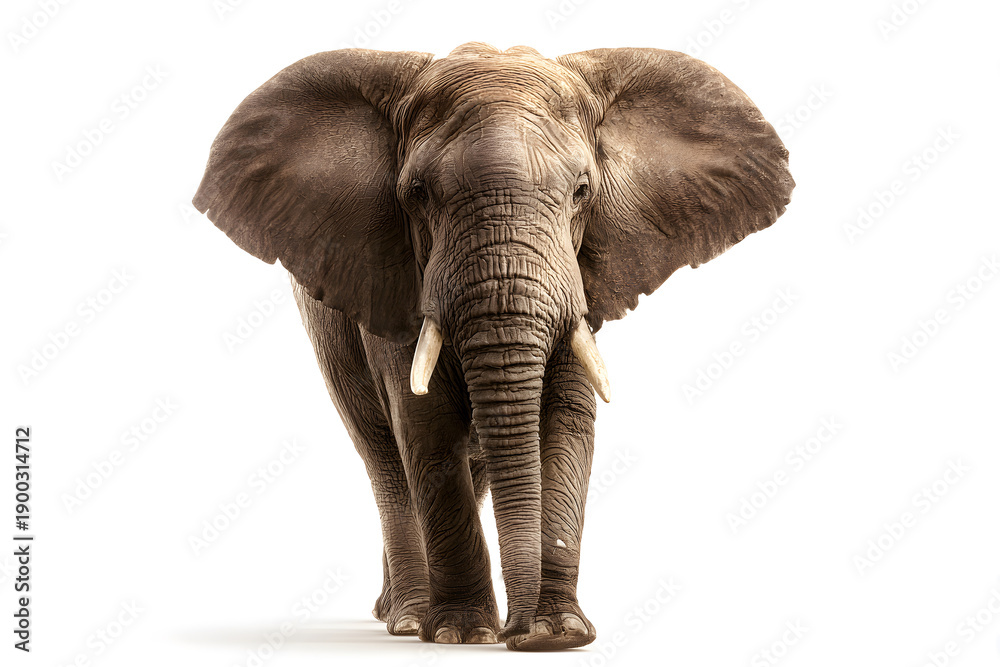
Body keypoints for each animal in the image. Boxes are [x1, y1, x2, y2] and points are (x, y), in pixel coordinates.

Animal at [193, 42, 793, 651]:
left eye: (582, 191)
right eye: (416, 195)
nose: (518, 632)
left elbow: (566, 422)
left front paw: (559, 632)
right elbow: (426, 424)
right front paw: (462, 634)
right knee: (385, 457)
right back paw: (405, 618)